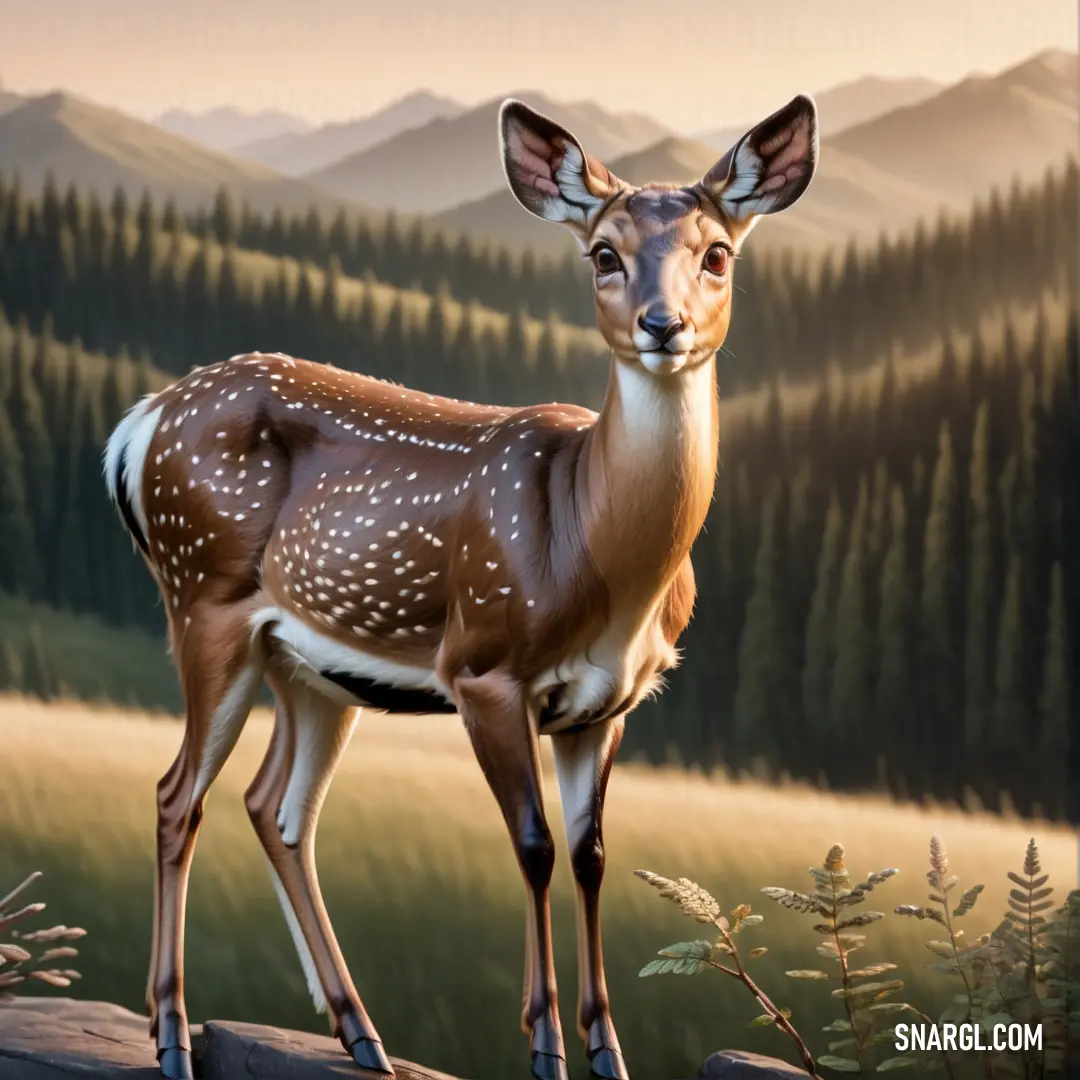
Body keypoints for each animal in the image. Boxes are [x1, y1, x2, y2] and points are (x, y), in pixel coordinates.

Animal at [103, 95, 816, 1080]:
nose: (661, 323)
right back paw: (172, 1033)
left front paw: (607, 1049)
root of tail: (139, 423)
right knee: (179, 796)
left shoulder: (608, 705)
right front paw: (545, 1043)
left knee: (276, 809)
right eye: (604, 252)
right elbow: (533, 845)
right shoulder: (483, 666)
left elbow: (592, 853)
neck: (595, 550)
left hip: (310, 671)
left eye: (718, 252)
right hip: (201, 592)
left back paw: (360, 1031)